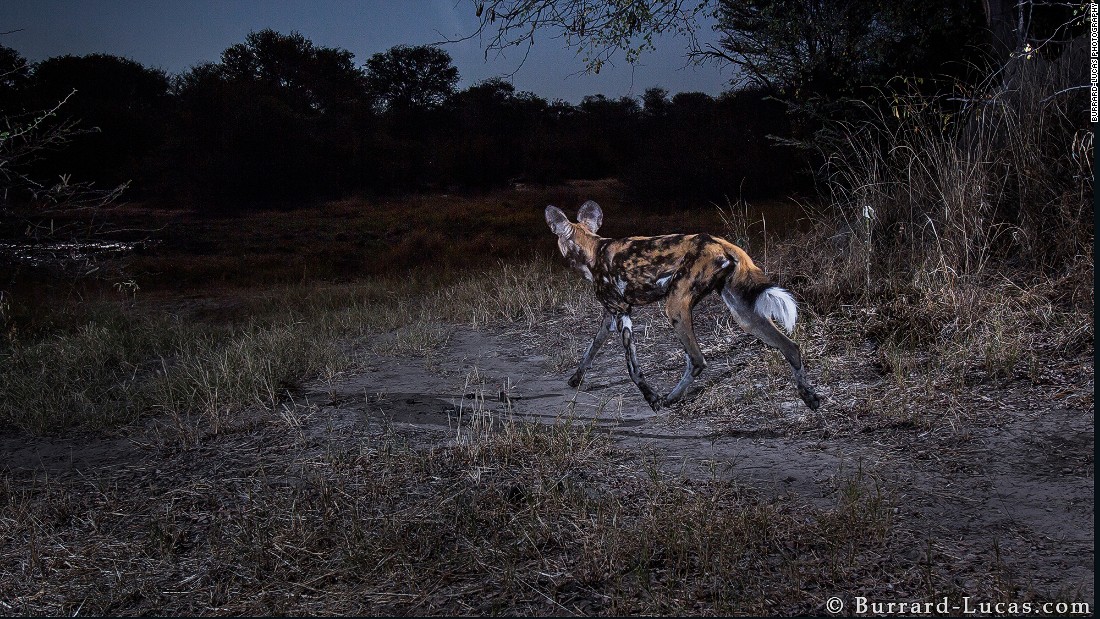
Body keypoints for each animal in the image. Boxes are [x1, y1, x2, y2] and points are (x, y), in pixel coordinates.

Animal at [545, 200, 822, 411]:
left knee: (697, 360)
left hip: (675, 308)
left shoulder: (623, 314)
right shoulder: (611, 316)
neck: (593, 250)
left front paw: (650, 397)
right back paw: (809, 396)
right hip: (745, 315)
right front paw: (575, 379)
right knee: (790, 347)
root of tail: (721, 242)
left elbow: (633, 368)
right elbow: (590, 350)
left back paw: (668, 399)